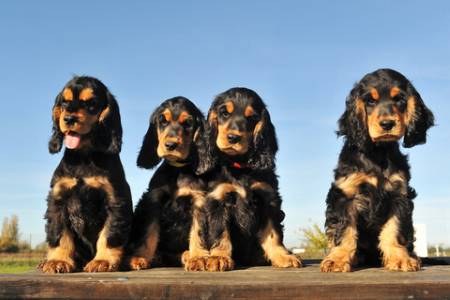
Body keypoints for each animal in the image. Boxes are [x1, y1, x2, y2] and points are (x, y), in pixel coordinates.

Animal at [39, 76, 132, 274]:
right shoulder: (58, 200)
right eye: (64, 102)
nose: (68, 118)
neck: (84, 156)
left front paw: (103, 261)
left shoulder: (114, 199)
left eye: (91, 104)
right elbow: (59, 233)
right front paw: (58, 261)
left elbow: (109, 233)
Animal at [126, 97, 211, 270]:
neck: (177, 170)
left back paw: (186, 255)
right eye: (162, 121)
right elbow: (148, 232)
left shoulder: (198, 199)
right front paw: (140, 257)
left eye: (188, 123)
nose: (170, 145)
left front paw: (198, 257)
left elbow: (198, 230)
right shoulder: (153, 199)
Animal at [199, 87, 300, 272]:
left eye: (252, 117)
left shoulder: (268, 199)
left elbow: (273, 233)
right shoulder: (218, 199)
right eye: (224, 113)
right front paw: (219, 257)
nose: (233, 138)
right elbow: (220, 230)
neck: (239, 166)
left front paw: (282, 256)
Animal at [322, 69, 434, 274]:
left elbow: (394, 229)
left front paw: (400, 258)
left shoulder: (399, 195)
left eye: (399, 99)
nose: (387, 124)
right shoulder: (345, 194)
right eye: (370, 101)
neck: (378, 152)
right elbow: (344, 229)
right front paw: (337, 259)